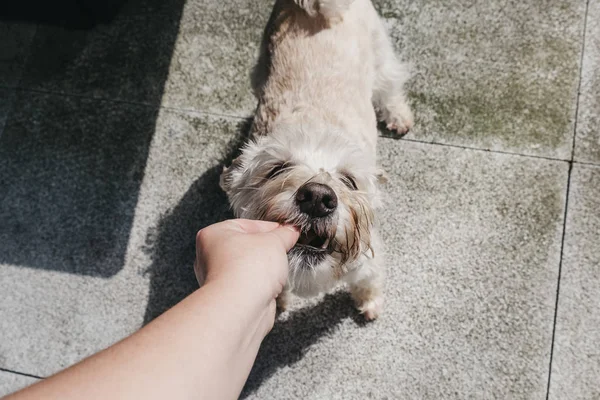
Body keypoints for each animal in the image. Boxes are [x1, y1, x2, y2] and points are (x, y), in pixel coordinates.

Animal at [220, 0, 412, 318]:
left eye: (349, 180)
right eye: (277, 169)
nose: (318, 198)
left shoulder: (367, 259)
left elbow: (369, 281)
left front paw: (370, 303)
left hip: (380, 51)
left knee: (389, 85)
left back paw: (398, 114)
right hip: (261, 67)